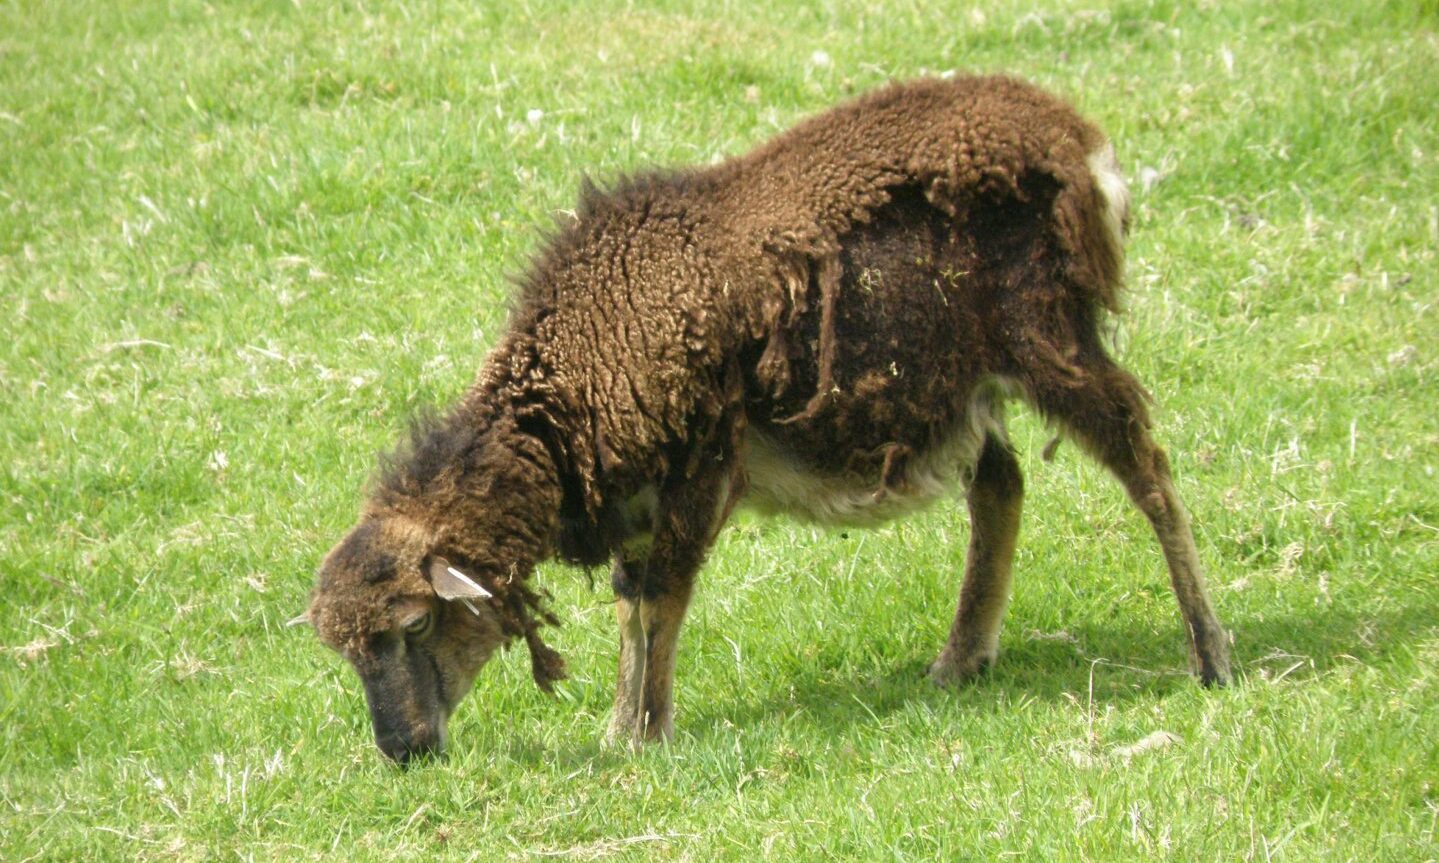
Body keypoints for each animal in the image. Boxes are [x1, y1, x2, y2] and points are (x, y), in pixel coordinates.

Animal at [301, 75, 1231, 764]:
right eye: (345, 650)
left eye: (416, 623)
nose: (404, 750)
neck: (570, 393)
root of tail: (1079, 141)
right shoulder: (640, 489)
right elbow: (630, 601)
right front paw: (618, 723)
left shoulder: (704, 459)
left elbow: (660, 597)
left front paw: (648, 730)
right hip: (953, 386)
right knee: (1002, 485)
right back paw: (958, 661)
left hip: (1046, 338)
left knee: (1146, 467)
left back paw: (1209, 654)